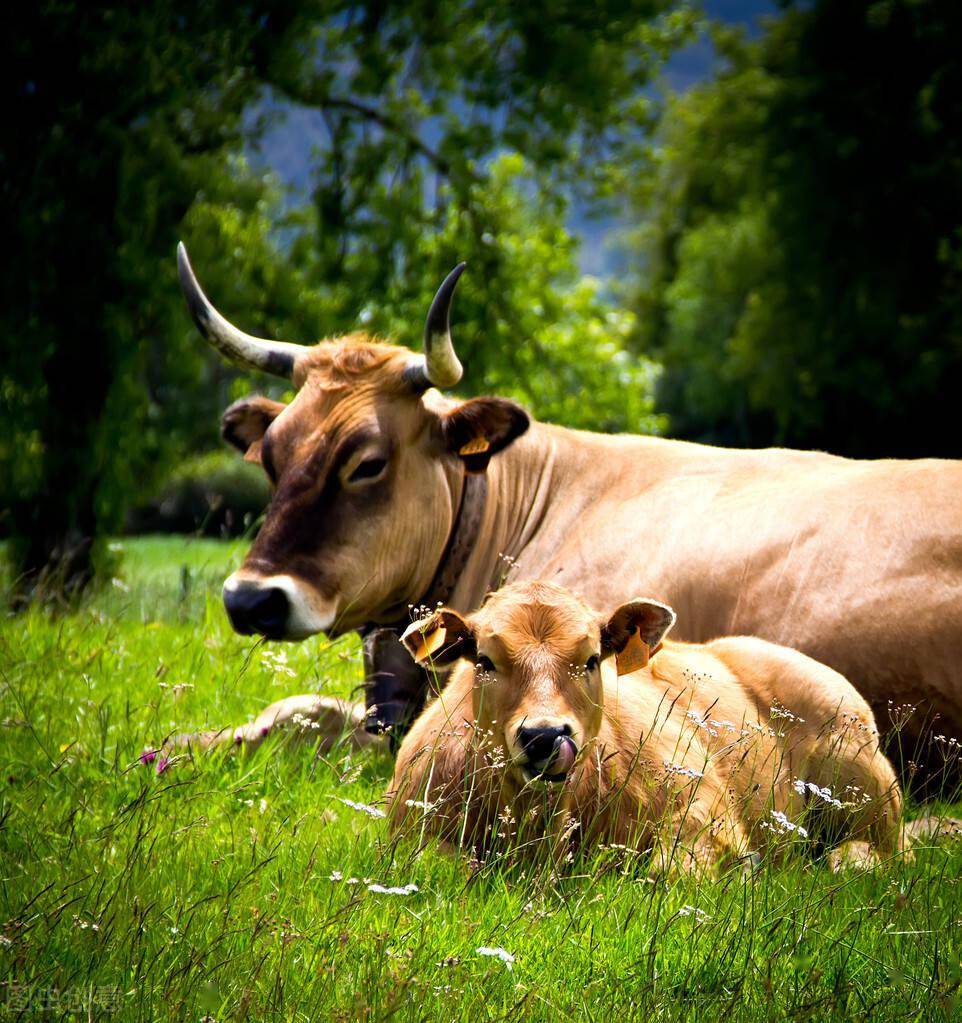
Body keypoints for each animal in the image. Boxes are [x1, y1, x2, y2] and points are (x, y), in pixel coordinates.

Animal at [382, 585, 900, 871]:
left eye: (592, 659)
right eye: (484, 661)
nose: (545, 736)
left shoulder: (706, 811)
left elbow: (670, 871)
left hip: (868, 788)